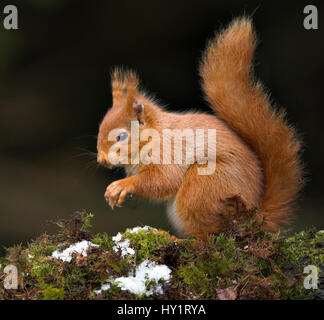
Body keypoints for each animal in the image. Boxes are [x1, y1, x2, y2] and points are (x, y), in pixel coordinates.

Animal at [96, 16, 304, 238]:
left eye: (121, 136)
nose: (102, 160)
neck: (153, 136)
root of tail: (253, 219)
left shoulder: (168, 151)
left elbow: (162, 181)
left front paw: (121, 186)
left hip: (203, 186)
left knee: (206, 236)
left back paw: (174, 238)